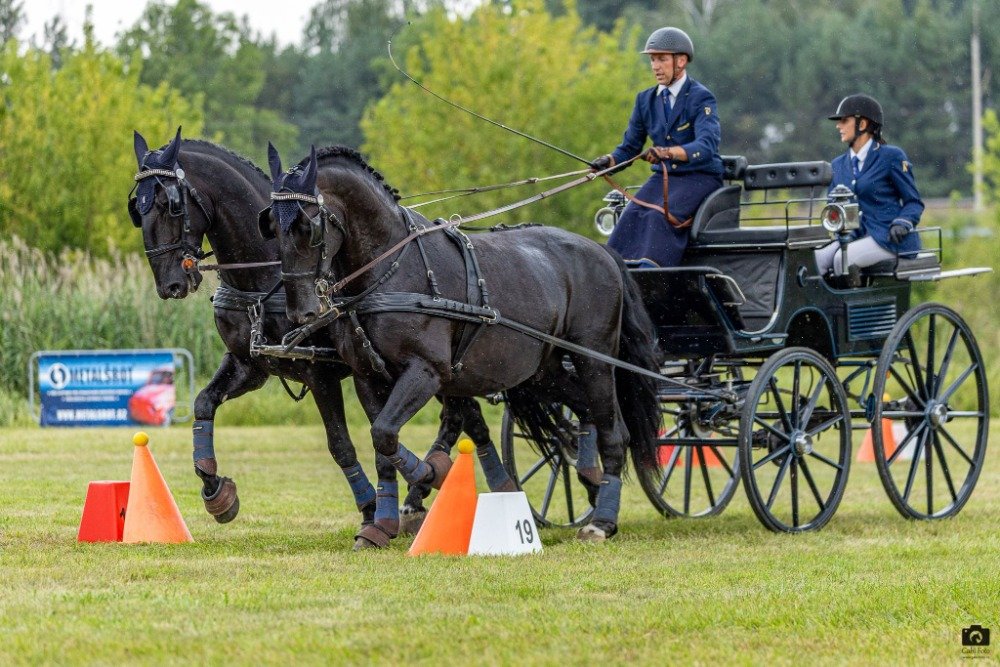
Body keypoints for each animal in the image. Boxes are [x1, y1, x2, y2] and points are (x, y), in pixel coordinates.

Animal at [128, 129, 512, 548]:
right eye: (137, 209)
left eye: (170, 205)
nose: (170, 285)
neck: (266, 277)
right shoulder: (250, 365)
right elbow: (202, 403)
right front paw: (216, 489)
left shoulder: (320, 373)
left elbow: (341, 445)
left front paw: (370, 509)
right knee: (464, 417)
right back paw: (426, 496)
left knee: (467, 420)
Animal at [262, 146, 660, 544]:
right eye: (272, 227)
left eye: (308, 227)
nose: (300, 310)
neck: (390, 269)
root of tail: (602, 252)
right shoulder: (367, 377)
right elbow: (381, 446)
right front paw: (381, 525)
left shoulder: (426, 371)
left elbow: (385, 434)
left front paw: (431, 473)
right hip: (543, 372)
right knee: (586, 412)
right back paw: (591, 479)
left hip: (594, 357)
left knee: (614, 431)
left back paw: (601, 520)